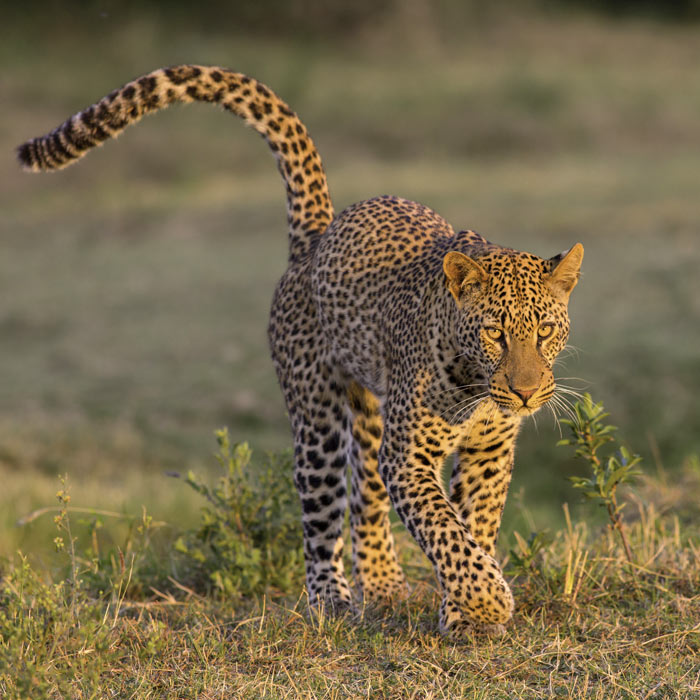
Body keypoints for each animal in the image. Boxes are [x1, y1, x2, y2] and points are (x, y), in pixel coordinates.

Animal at [17, 63, 584, 636]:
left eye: (544, 331)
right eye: (494, 333)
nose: (526, 392)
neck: (476, 386)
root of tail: (317, 234)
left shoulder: (489, 450)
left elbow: (475, 527)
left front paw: (465, 609)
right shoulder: (409, 457)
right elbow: (445, 529)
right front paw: (486, 599)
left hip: (369, 415)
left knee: (365, 498)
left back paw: (384, 587)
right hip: (318, 423)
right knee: (321, 518)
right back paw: (331, 602)